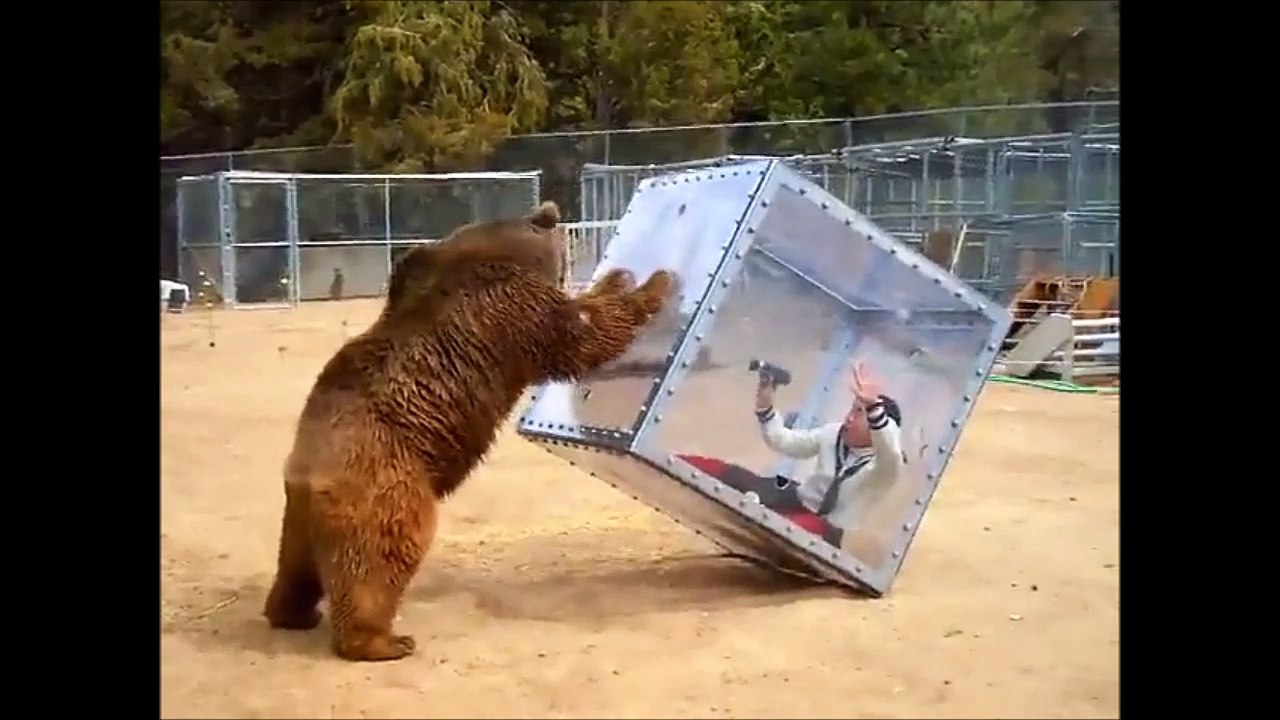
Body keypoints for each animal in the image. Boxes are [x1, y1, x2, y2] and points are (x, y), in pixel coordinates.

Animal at [262, 200, 675, 662]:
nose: (554, 216)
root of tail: (307, 475)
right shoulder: (513, 310)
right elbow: (582, 333)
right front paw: (653, 283)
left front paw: (619, 277)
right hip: (386, 483)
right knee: (381, 558)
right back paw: (381, 640)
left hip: (301, 517)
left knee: (296, 567)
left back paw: (292, 613)